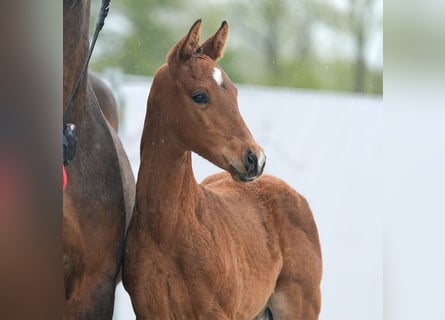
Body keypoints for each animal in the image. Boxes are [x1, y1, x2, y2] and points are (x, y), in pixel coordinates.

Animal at [123, 20, 320, 320]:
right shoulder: (148, 313)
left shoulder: (215, 313)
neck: (168, 232)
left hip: (299, 308)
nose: (255, 158)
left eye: (235, 93)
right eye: (200, 96)